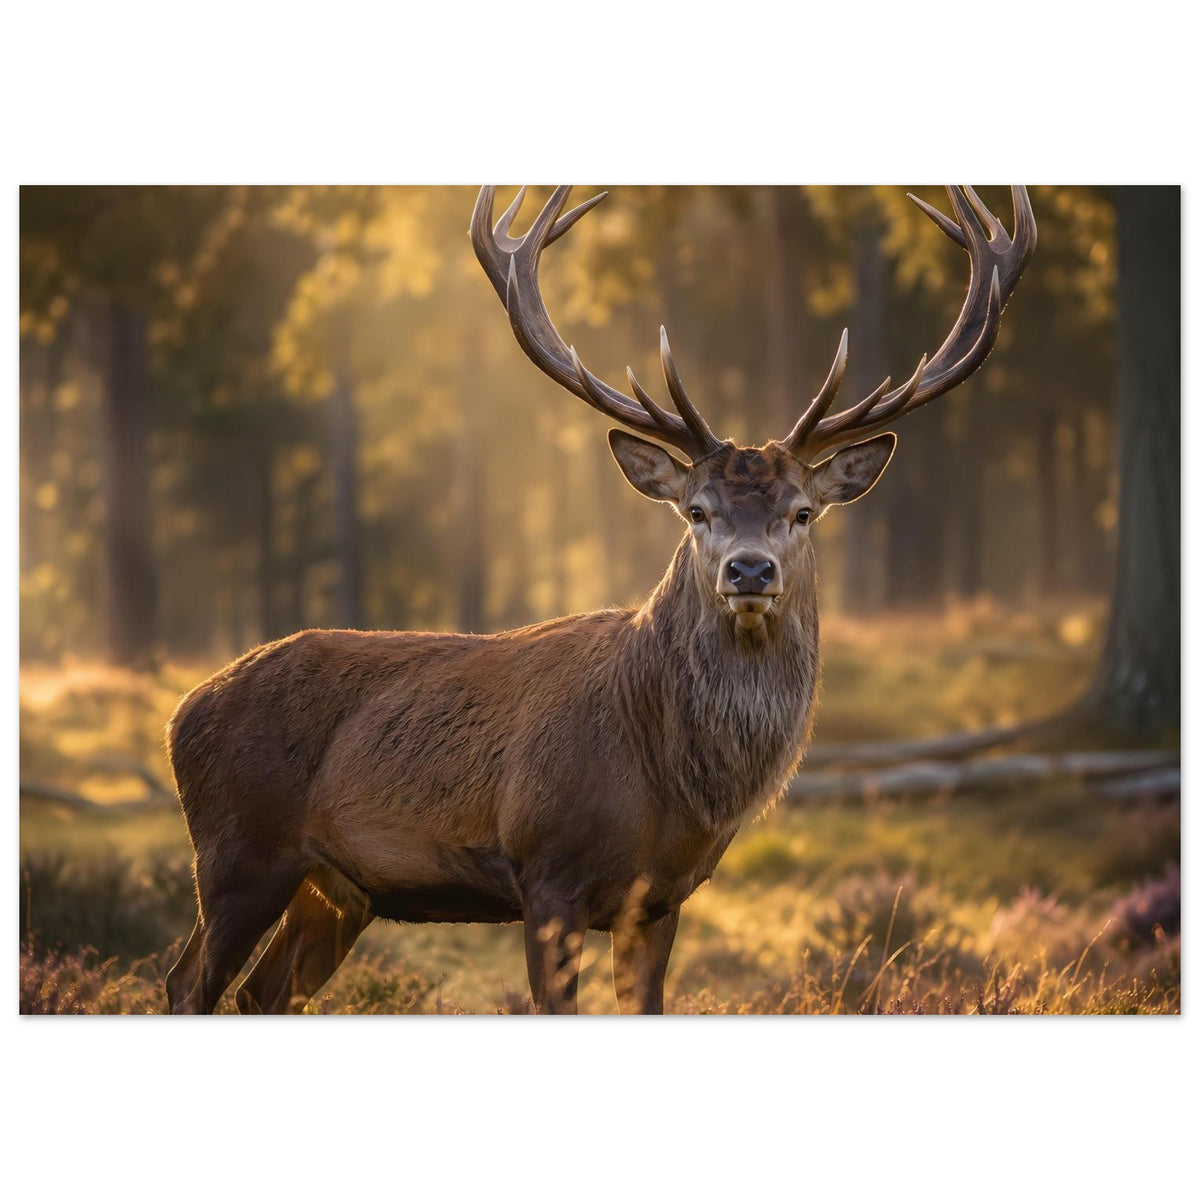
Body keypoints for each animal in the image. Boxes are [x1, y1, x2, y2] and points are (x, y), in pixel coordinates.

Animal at [164, 184, 1035, 1014]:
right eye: (696, 511)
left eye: (802, 512)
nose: (749, 572)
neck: (667, 787)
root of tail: (182, 711)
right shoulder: (546, 872)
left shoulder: (662, 899)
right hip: (237, 851)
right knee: (187, 981)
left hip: (339, 886)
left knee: (263, 992)